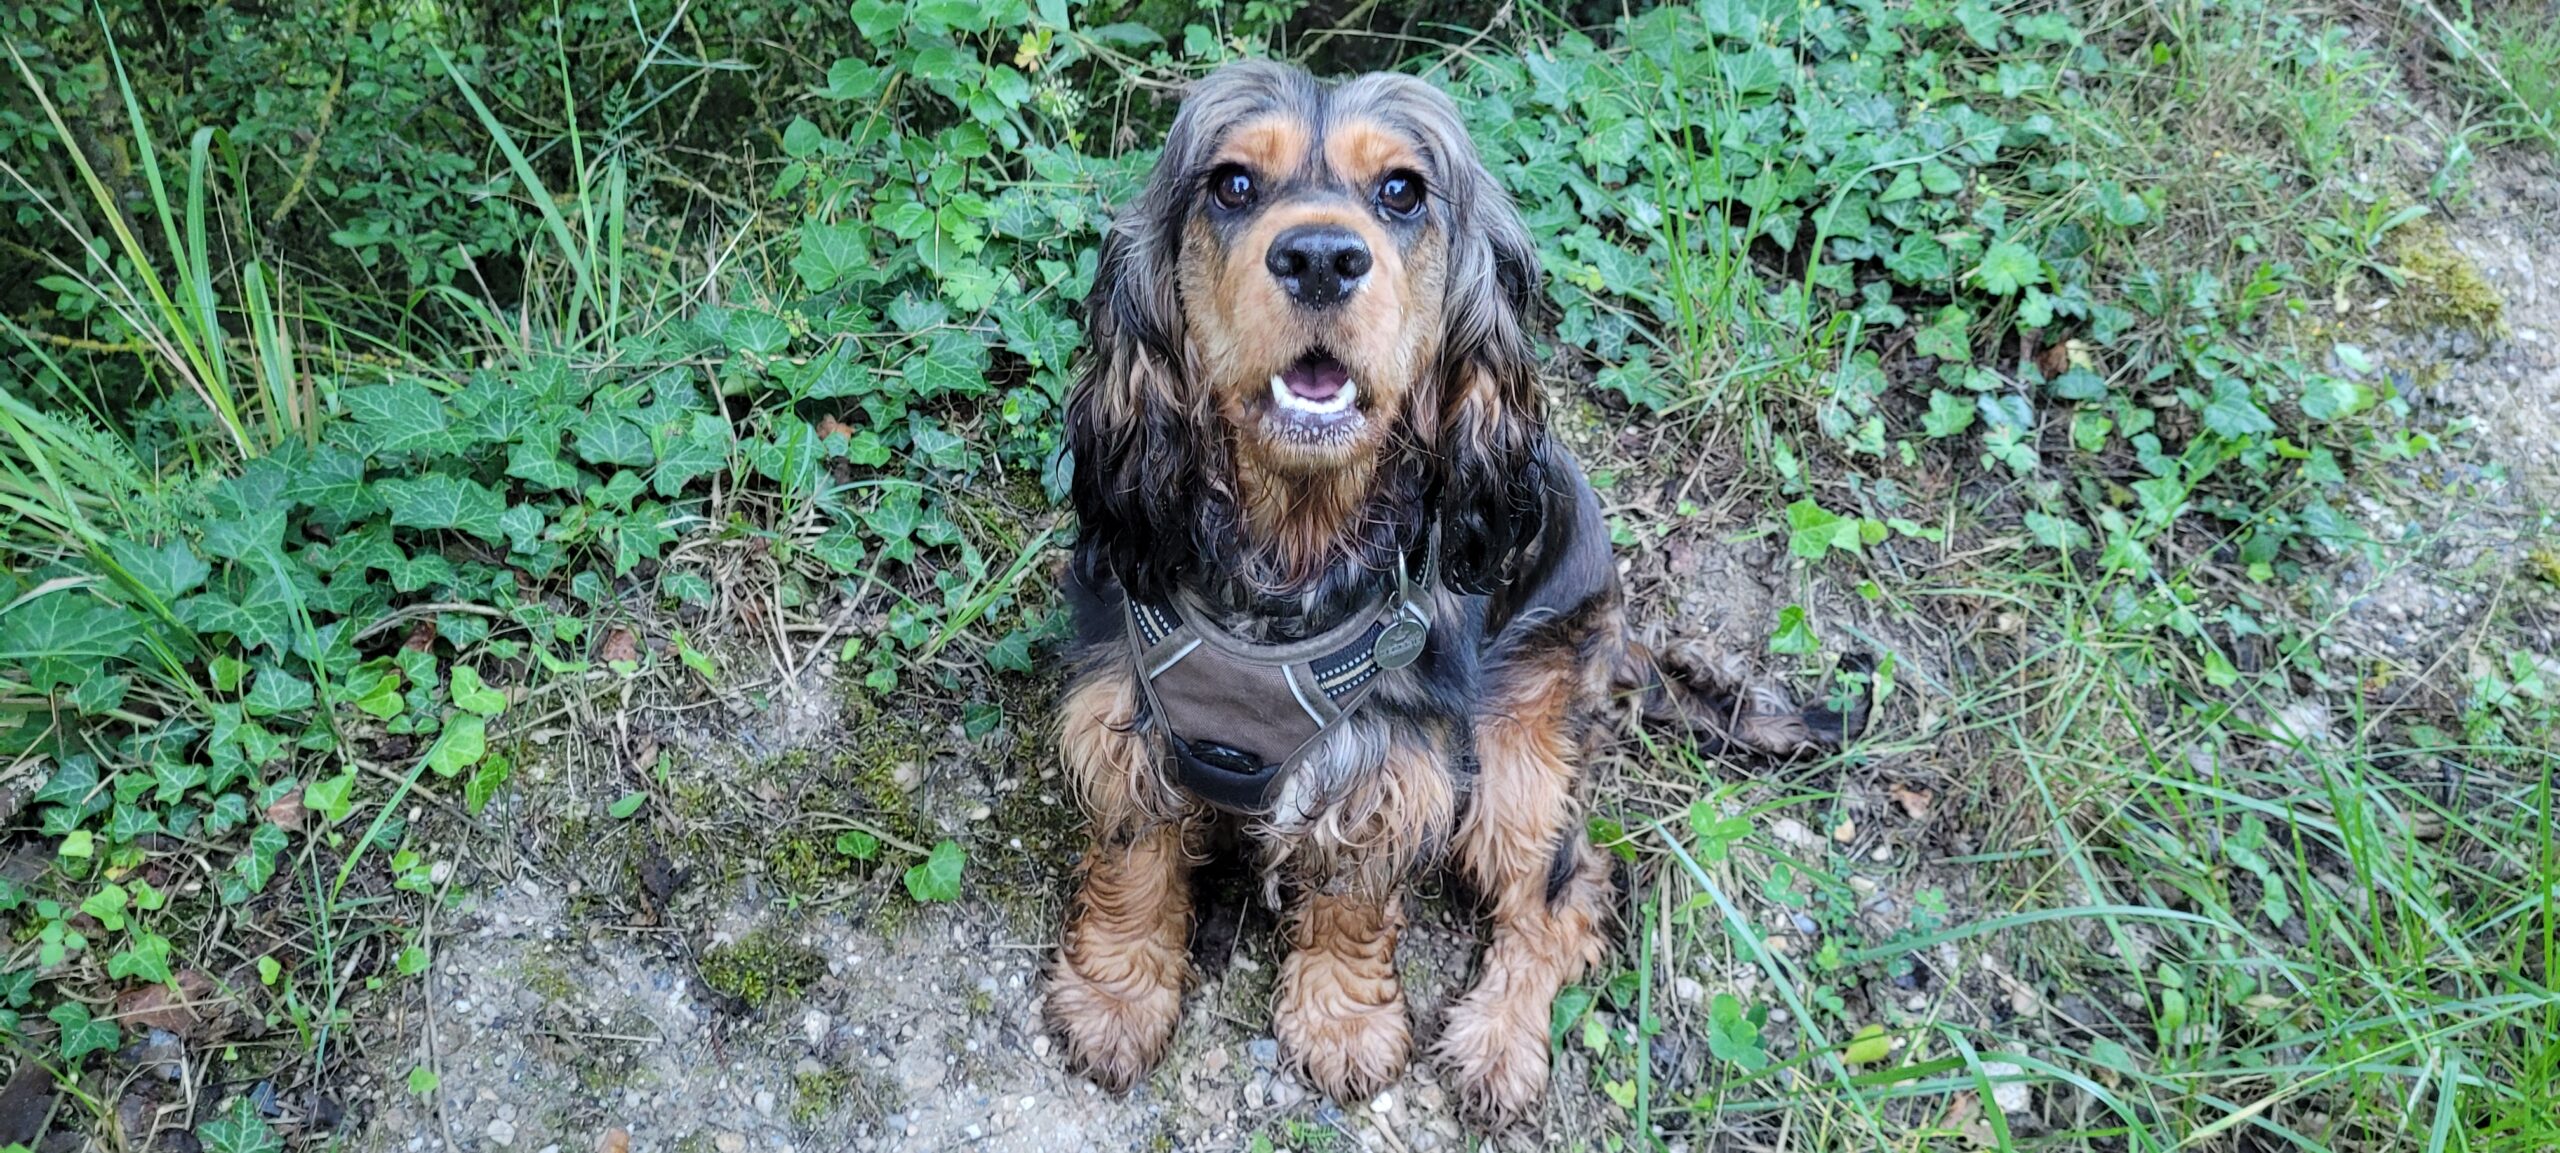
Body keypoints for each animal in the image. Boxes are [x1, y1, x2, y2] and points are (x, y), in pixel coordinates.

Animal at [1039, 58, 1863, 1122]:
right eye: (1231, 184)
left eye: (1401, 190)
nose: (1319, 258)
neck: (1290, 550)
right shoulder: (1129, 724)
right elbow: (1135, 868)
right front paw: (1115, 999)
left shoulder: (1398, 763)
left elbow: (1353, 902)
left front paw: (1343, 1023)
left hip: (1516, 756)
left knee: (1566, 895)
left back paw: (1500, 1041)